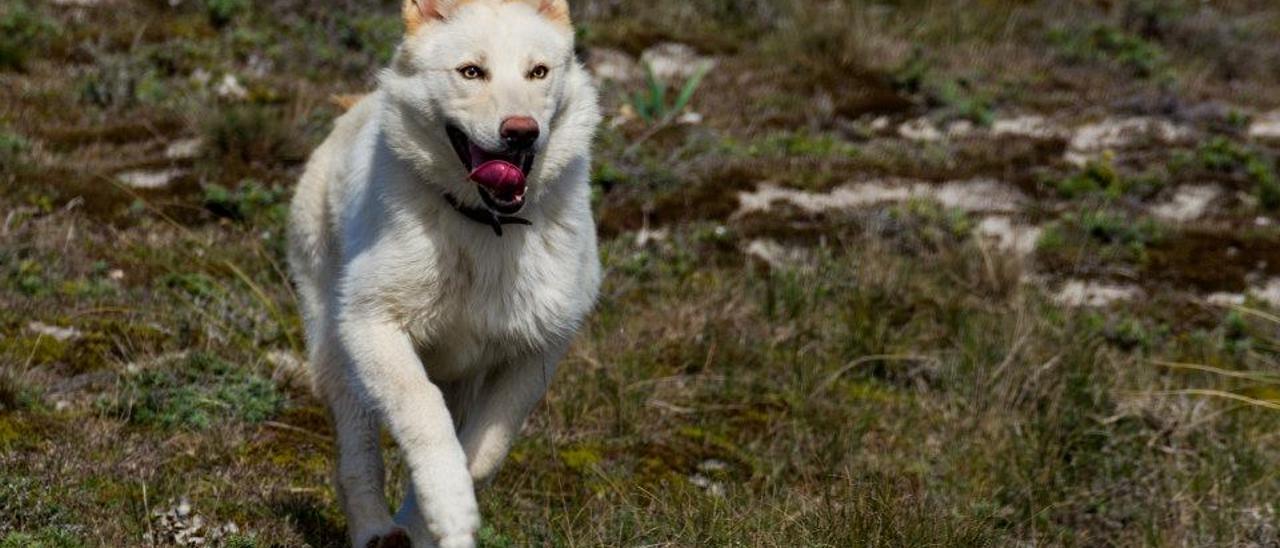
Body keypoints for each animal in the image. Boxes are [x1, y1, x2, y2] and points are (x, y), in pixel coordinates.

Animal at [290, 2, 604, 545]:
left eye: (538, 72)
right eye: (471, 72)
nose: (521, 131)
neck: (484, 225)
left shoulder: (538, 352)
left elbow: (484, 449)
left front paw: (439, 518)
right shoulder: (371, 325)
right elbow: (423, 414)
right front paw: (449, 503)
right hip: (338, 355)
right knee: (357, 460)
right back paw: (375, 529)